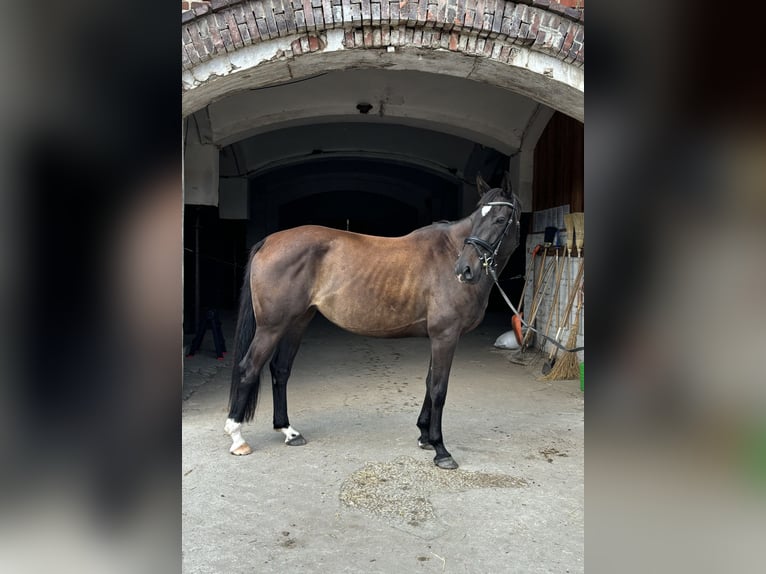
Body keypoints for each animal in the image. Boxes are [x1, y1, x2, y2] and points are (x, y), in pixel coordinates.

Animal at [224, 174, 521, 469]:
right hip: (271, 328)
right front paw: (440, 449)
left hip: (296, 322)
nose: (465, 270)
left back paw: (288, 431)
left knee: (280, 370)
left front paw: (424, 437)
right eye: (478, 217)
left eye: (499, 219)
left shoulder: (438, 337)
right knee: (249, 368)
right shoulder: (445, 336)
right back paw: (237, 438)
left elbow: (429, 382)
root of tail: (269, 241)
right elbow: (439, 388)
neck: (448, 253)